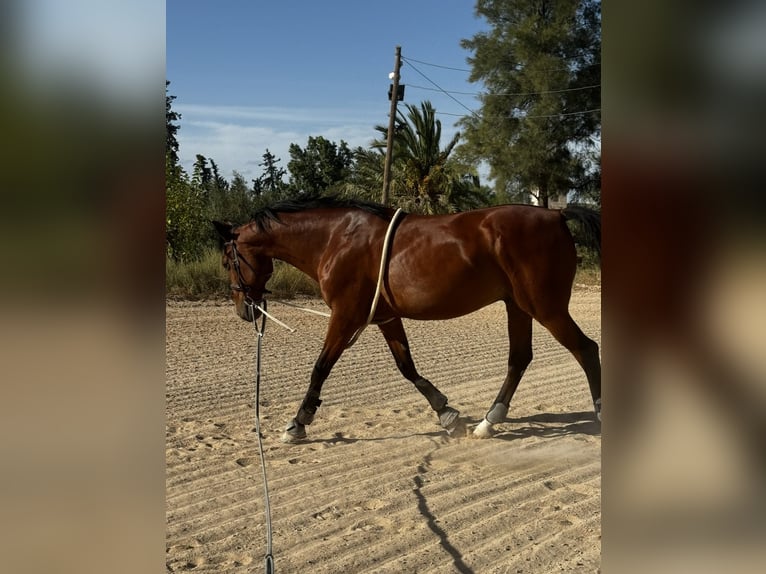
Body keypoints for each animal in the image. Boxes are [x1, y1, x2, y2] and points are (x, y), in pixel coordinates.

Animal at [213, 195, 601, 443]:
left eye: (227, 261)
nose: (244, 309)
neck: (335, 238)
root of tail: (556, 216)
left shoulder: (345, 315)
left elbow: (321, 367)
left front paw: (298, 422)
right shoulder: (385, 317)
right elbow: (407, 367)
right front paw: (446, 413)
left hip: (545, 307)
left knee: (586, 349)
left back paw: (598, 415)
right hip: (518, 306)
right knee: (519, 359)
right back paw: (488, 422)